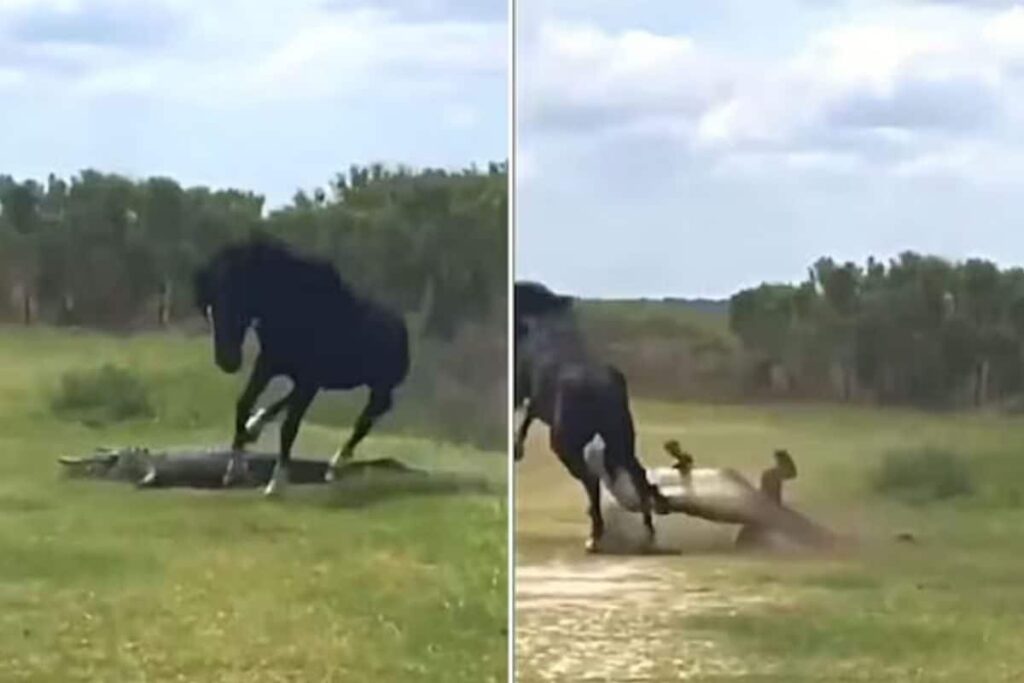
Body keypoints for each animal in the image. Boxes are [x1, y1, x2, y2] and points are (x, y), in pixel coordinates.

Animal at [193, 236, 410, 496]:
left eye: (235, 302)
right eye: (210, 308)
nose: (227, 362)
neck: (297, 310)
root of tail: (402, 327)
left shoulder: (309, 379)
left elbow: (289, 427)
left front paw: (276, 483)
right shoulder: (268, 365)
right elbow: (244, 403)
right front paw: (234, 469)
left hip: (380, 387)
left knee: (367, 418)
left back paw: (335, 464)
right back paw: (256, 427)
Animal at [514, 281, 669, 552]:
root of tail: (602, 386)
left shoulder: (525, 392)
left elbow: (524, 415)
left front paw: (516, 448)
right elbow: (527, 416)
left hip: (566, 445)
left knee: (591, 480)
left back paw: (595, 536)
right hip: (621, 441)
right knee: (637, 475)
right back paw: (649, 531)